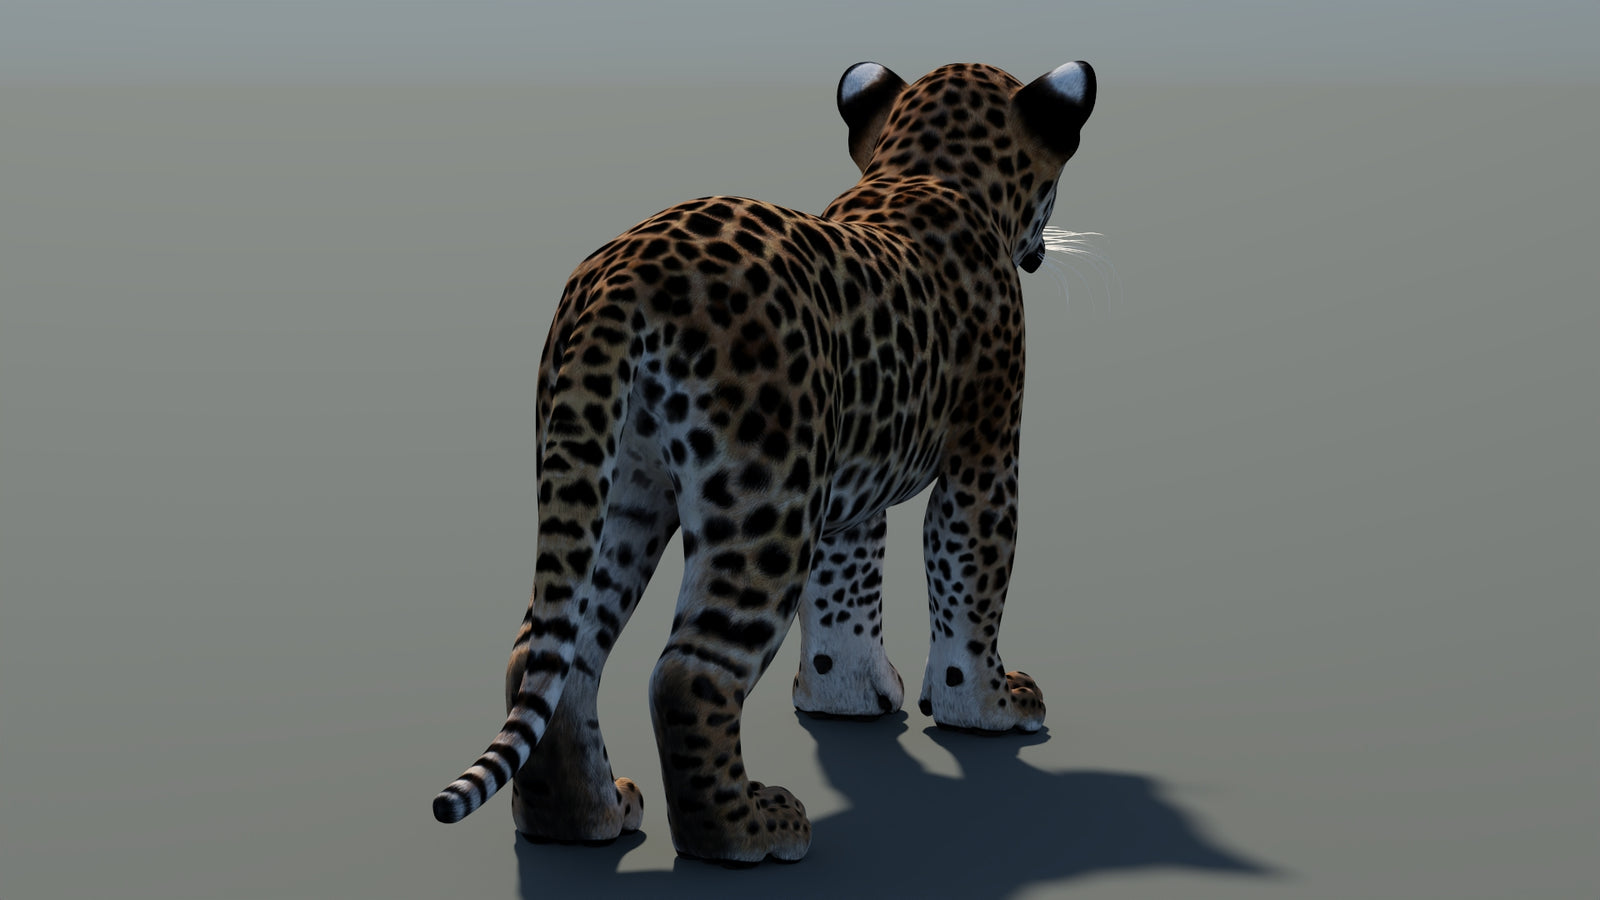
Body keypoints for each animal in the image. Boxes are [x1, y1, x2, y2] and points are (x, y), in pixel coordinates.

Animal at [433, 59, 1097, 866]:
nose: (1041, 248)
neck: (930, 170)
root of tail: (623, 275)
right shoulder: (983, 455)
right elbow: (971, 582)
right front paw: (984, 704)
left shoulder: (847, 483)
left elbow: (846, 591)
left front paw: (845, 695)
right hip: (765, 503)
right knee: (687, 673)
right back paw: (746, 830)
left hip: (610, 484)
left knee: (552, 651)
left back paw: (584, 819)